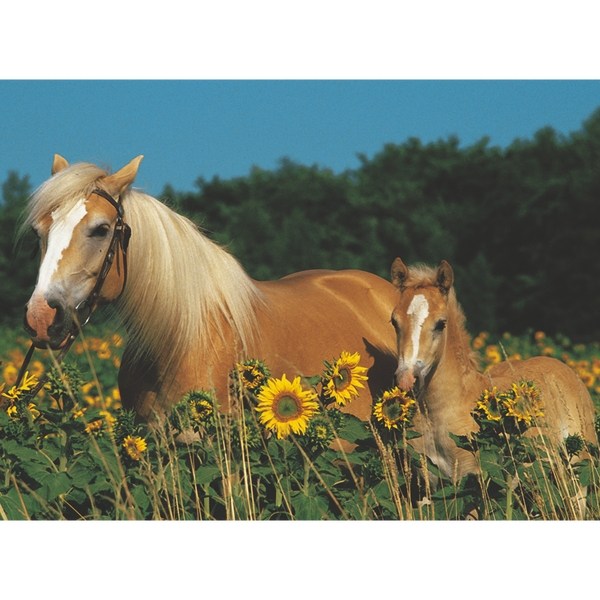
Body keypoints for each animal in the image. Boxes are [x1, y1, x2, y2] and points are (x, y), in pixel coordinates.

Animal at [390, 256, 596, 488]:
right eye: (394, 321)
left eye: (441, 323)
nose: (407, 379)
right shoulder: (429, 484)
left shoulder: (476, 483)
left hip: (580, 470)